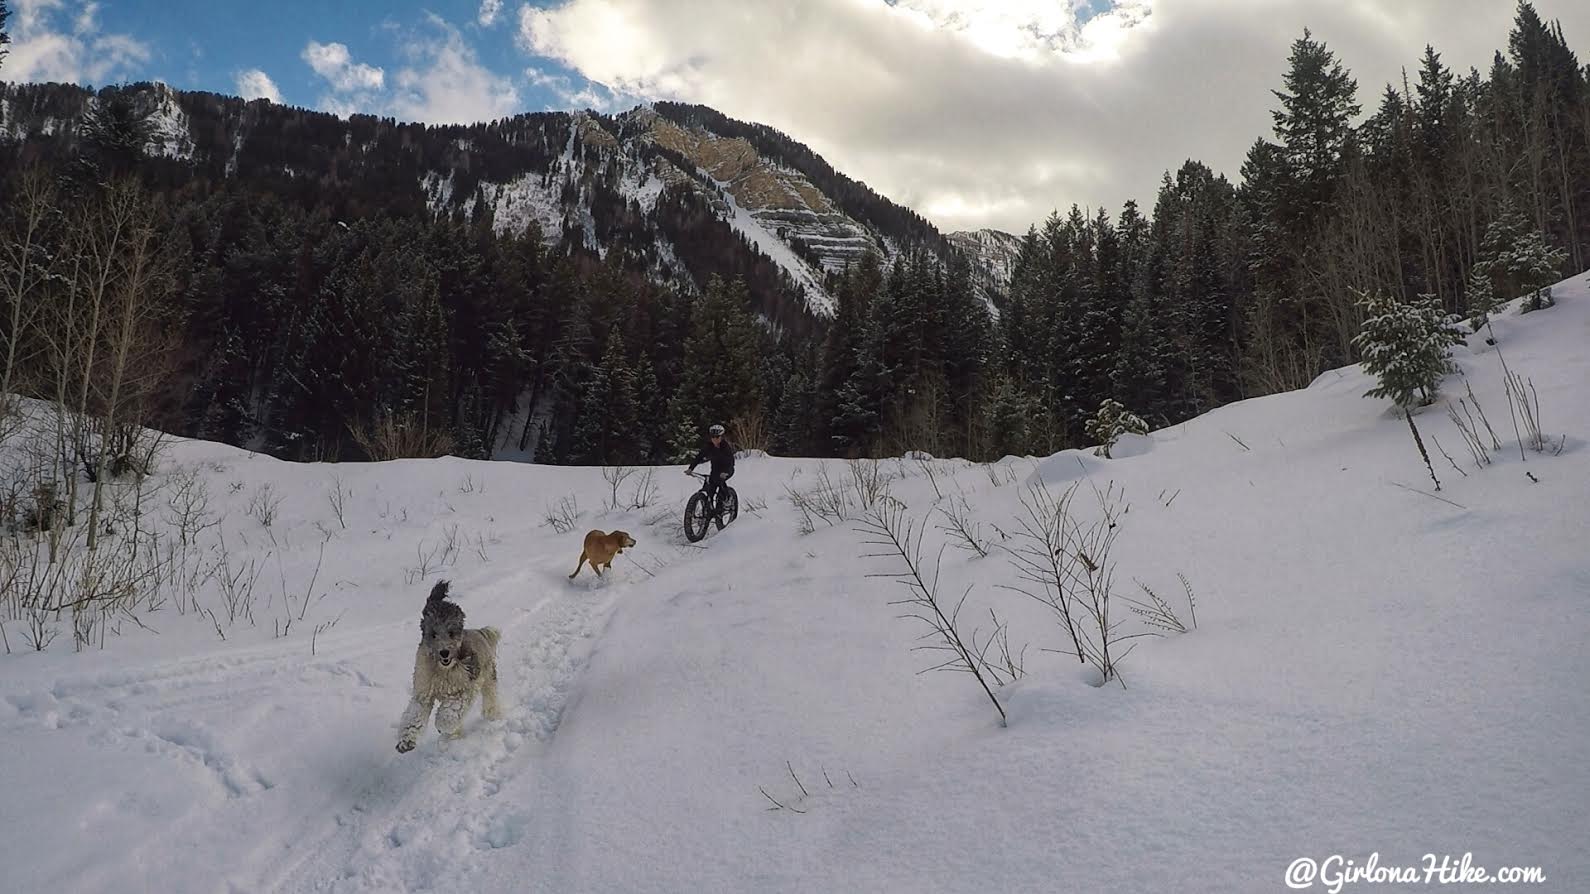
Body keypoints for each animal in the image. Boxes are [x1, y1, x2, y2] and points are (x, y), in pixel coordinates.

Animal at [394, 579, 499, 750]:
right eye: (433, 634)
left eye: (451, 632)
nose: (444, 653)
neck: (442, 671)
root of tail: (480, 632)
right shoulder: (423, 692)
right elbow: (415, 715)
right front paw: (406, 740)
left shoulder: (466, 688)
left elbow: (450, 711)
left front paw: (442, 725)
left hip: (488, 676)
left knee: (491, 697)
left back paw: (493, 715)